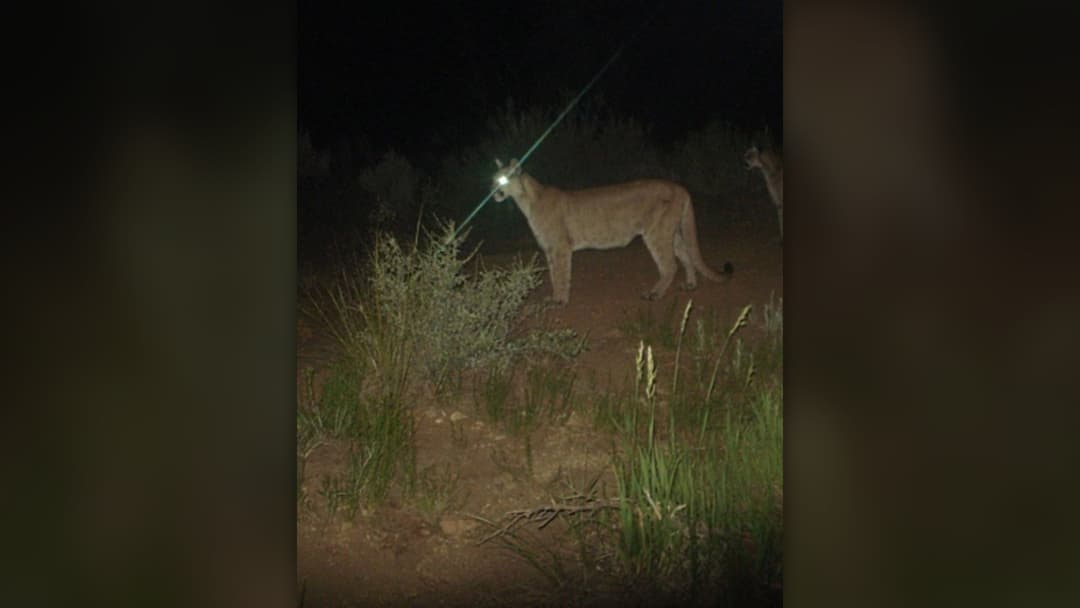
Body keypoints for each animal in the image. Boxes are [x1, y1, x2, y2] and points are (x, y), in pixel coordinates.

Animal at [492, 158, 733, 305]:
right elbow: (553, 274)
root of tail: (680, 187)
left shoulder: (560, 247)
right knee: (686, 254)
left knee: (670, 265)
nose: (494, 193)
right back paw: (690, 284)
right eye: (493, 179)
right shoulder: (550, 248)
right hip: (669, 231)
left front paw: (560, 300)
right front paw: (555, 298)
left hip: (656, 233)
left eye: (503, 179)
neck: (528, 200)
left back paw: (654, 293)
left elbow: (561, 274)